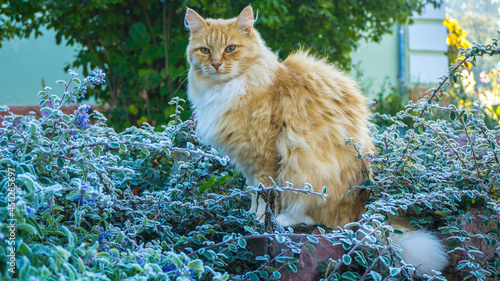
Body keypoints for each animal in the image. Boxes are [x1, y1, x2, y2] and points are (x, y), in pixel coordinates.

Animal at [185, 6, 450, 276]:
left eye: (230, 48)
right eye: (205, 50)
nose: (216, 64)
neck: (224, 89)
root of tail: (362, 206)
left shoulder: (264, 158)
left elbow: (264, 196)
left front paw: (258, 223)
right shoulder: (247, 161)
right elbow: (252, 193)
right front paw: (248, 216)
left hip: (306, 174)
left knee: (326, 221)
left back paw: (285, 220)